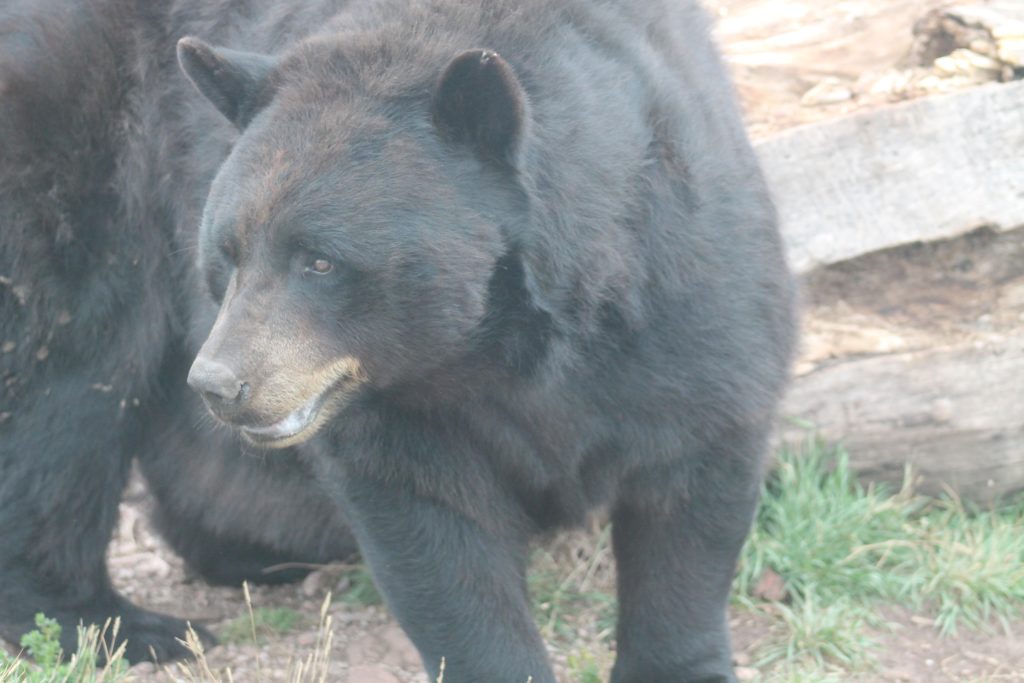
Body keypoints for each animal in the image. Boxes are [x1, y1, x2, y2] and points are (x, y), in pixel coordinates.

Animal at [0, 0, 794, 679]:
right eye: (226, 251)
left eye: (320, 260)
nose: (221, 384)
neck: (494, 346)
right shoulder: (396, 401)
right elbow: (434, 531)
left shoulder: (684, 282)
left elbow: (693, 477)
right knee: (63, 369)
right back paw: (112, 623)